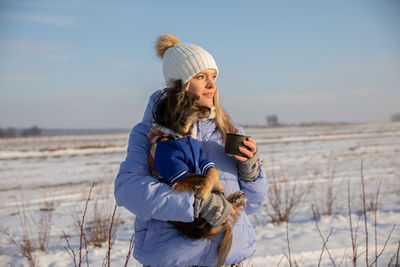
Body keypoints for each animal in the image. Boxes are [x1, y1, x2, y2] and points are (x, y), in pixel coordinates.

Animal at [148, 80, 245, 266]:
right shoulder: (177, 172)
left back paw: (236, 198)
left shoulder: (201, 158)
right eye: (194, 103)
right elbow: (204, 179)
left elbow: (211, 171)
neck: (180, 136)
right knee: (216, 224)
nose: (209, 109)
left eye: (198, 99)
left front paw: (217, 186)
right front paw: (205, 194)